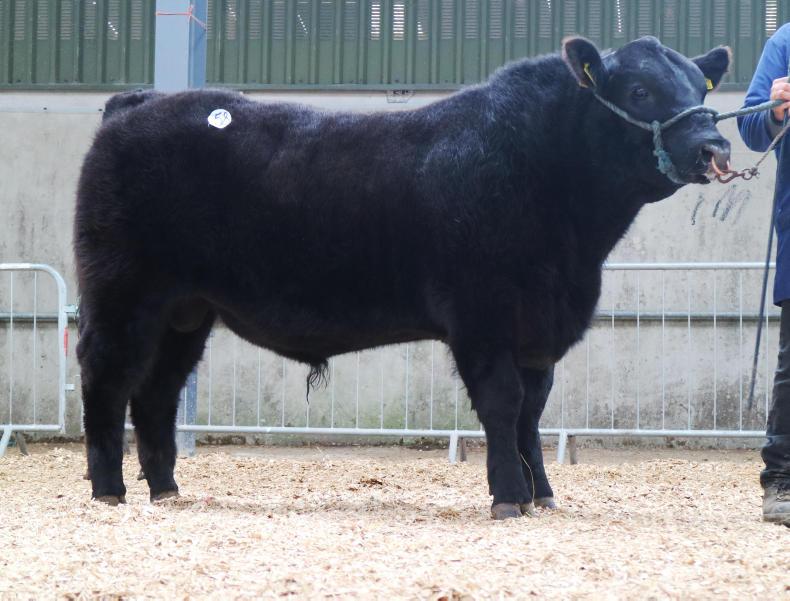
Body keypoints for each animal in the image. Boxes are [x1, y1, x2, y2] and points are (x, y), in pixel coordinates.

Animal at [74, 36, 731, 519]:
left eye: (700, 86)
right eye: (640, 89)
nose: (714, 146)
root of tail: (139, 102)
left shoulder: (538, 330)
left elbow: (533, 411)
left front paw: (541, 494)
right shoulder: (483, 316)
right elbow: (503, 404)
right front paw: (508, 497)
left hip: (185, 312)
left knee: (156, 391)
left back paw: (165, 489)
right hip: (121, 291)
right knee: (107, 375)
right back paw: (109, 490)